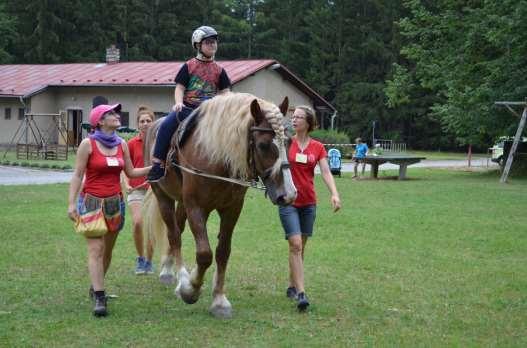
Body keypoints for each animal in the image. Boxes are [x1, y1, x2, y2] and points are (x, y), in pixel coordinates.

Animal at [143, 92, 296, 318]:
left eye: (289, 142)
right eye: (263, 145)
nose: (289, 194)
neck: (215, 156)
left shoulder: (231, 209)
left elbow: (223, 251)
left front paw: (219, 300)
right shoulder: (196, 206)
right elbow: (204, 254)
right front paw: (190, 290)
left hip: (184, 204)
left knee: (178, 230)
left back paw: (171, 269)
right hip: (164, 197)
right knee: (174, 235)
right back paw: (178, 277)